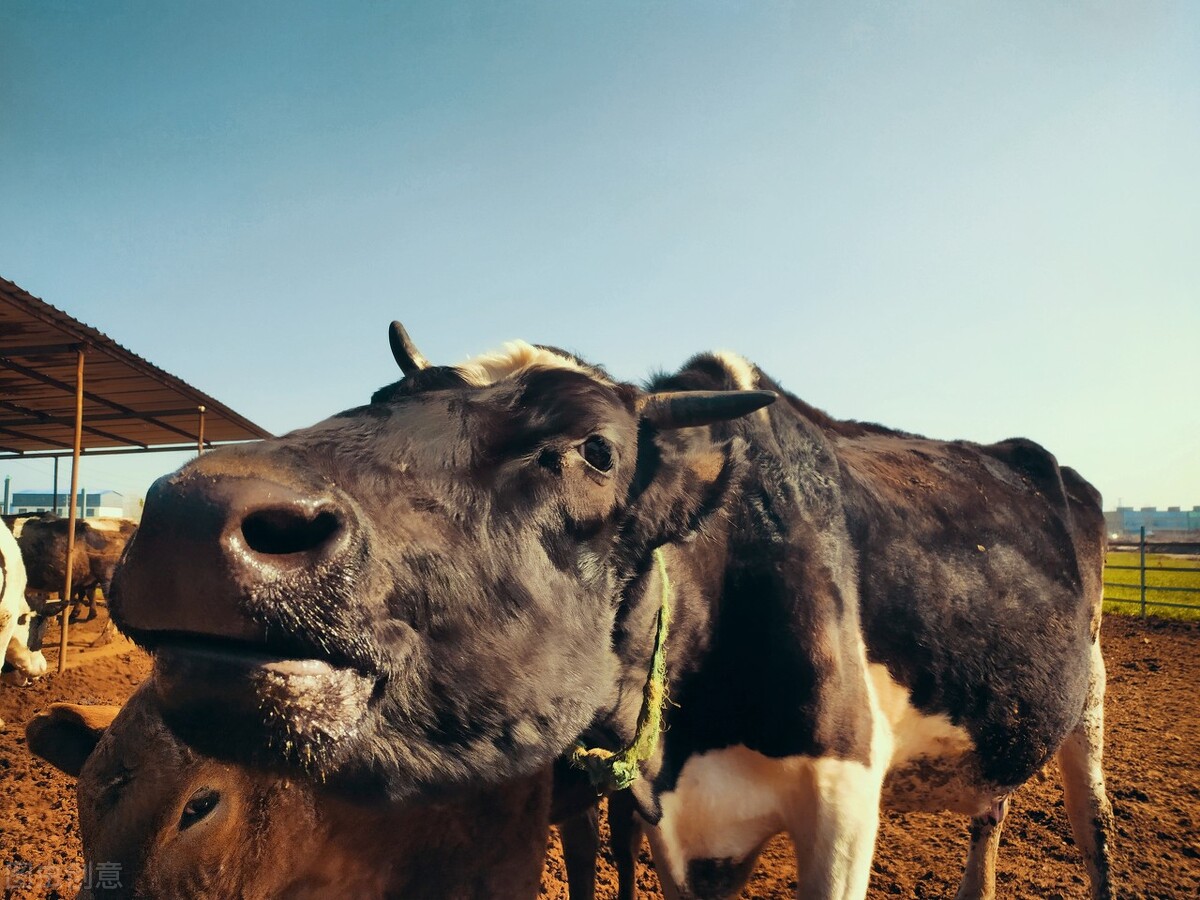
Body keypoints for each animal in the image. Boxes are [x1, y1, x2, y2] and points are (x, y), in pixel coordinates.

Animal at [108, 326, 1108, 900]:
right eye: (379, 400)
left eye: (597, 449)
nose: (188, 518)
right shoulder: (674, 821)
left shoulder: (843, 794)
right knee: (991, 810)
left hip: (1090, 698)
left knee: (1091, 828)